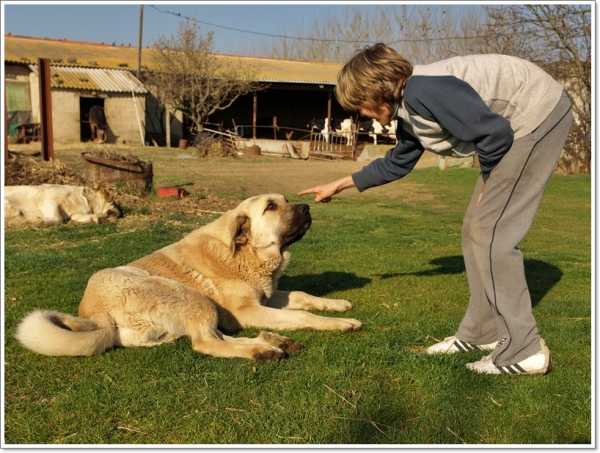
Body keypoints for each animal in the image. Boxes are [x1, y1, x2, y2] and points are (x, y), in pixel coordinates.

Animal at [15, 193, 360, 360]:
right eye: (272, 207)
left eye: (287, 201)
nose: (306, 208)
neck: (247, 252)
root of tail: (95, 313)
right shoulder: (249, 310)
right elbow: (302, 314)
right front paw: (338, 323)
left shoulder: (266, 296)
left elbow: (301, 296)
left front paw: (338, 305)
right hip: (192, 296)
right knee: (207, 343)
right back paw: (261, 350)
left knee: (216, 336)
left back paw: (275, 342)